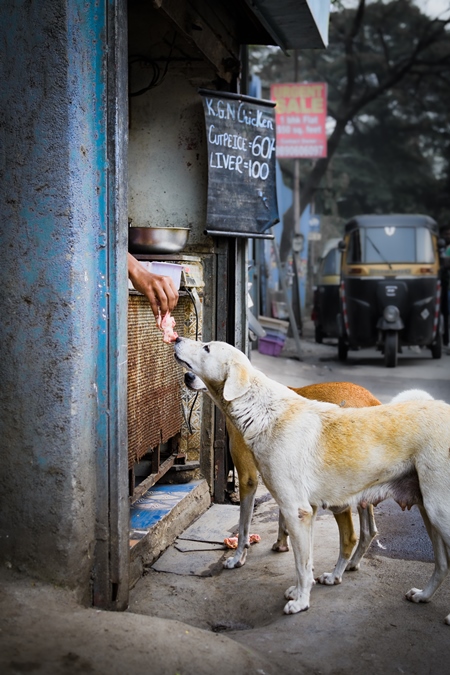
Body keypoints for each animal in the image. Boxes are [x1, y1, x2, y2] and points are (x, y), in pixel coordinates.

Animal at [174, 338, 450, 624]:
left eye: (206, 348)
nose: (177, 339)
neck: (261, 410)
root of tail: (372, 399)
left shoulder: (285, 504)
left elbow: (289, 557)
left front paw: (300, 602)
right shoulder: (307, 510)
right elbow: (304, 560)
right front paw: (298, 591)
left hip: (439, 512)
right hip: (428, 511)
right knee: (441, 564)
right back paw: (422, 595)